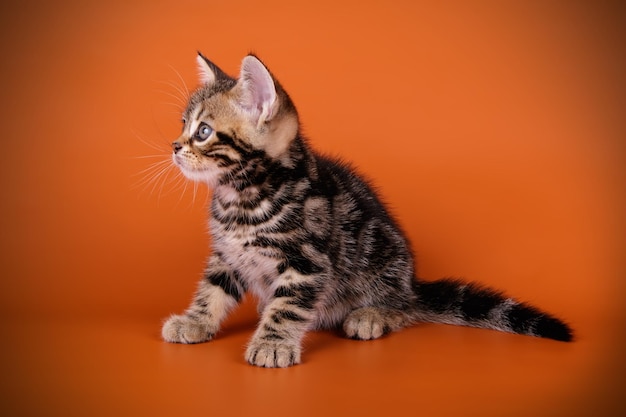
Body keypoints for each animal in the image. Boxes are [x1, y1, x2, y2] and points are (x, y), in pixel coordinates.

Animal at [161, 52, 572, 368]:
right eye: (183, 125)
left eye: (203, 131)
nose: (175, 146)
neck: (242, 197)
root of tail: (411, 283)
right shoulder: (228, 254)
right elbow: (212, 289)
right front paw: (194, 321)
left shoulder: (307, 261)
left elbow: (288, 306)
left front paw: (273, 343)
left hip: (382, 264)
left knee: (404, 308)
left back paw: (372, 315)